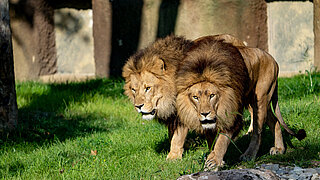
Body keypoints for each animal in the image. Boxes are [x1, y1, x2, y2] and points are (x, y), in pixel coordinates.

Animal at [174, 36, 306, 170]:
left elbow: (221, 141)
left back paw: (249, 155)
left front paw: (215, 161)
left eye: (212, 95)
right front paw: (213, 157)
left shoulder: (232, 114)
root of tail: (273, 59)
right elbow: (212, 141)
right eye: (195, 97)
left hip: (260, 99)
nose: (205, 114)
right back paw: (279, 149)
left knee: (257, 132)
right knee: (274, 121)